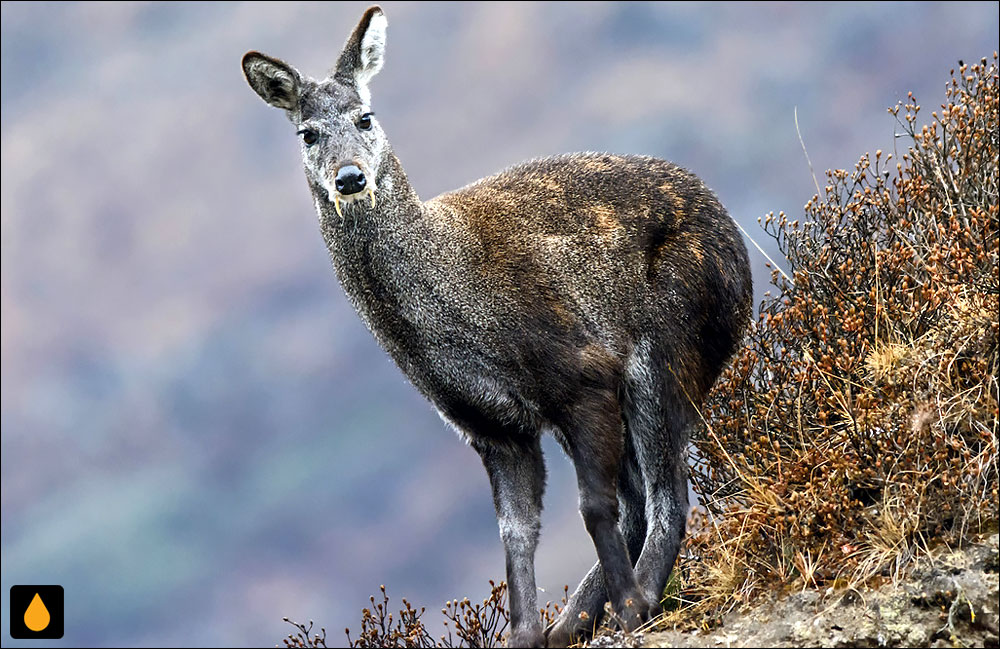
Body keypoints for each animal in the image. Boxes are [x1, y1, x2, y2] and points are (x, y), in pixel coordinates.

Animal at [244, 6, 752, 648]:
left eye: (365, 115)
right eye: (306, 133)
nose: (351, 178)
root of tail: (740, 253)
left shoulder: (582, 372)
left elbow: (593, 506)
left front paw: (633, 608)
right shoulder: (492, 427)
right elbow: (516, 534)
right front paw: (527, 634)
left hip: (666, 344)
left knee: (667, 494)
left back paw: (633, 605)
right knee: (644, 497)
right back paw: (571, 623)